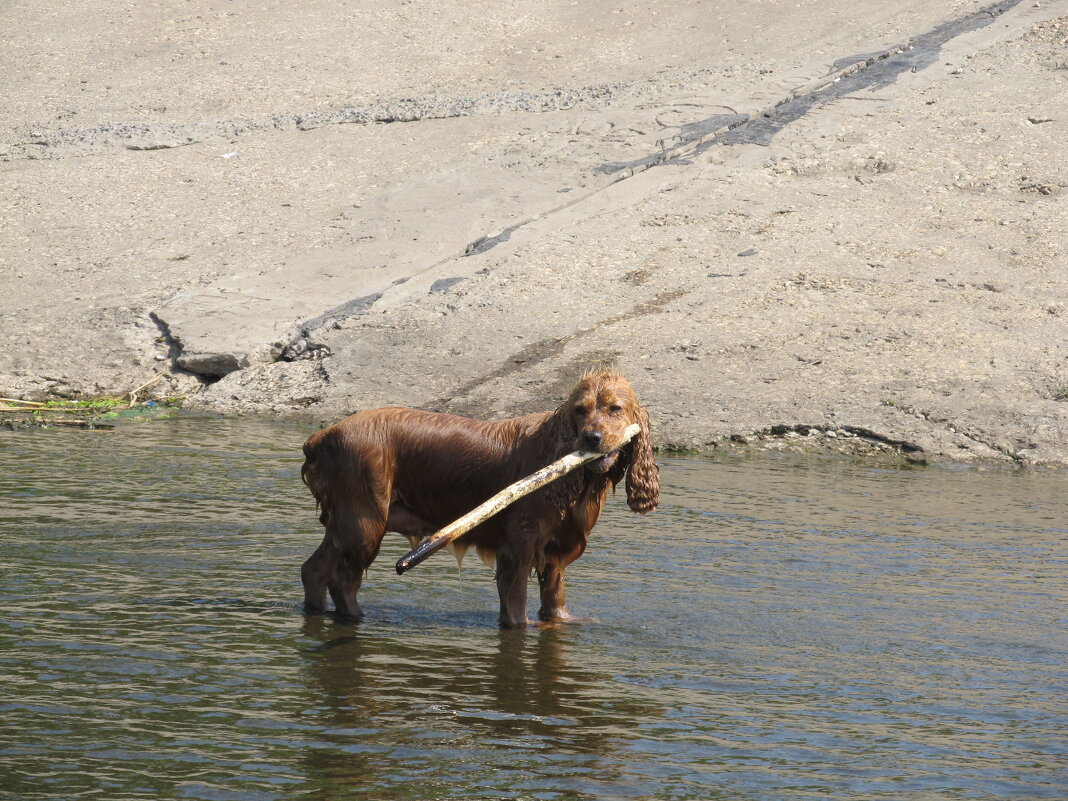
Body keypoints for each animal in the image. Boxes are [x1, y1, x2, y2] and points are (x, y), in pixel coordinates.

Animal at [296, 373, 653, 632]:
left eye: (615, 408)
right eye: (580, 409)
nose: (591, 438)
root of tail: (320, 437)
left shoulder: (554, 556)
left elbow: (554, 601)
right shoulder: (518, 549)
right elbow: (516, 607)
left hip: (345, 524)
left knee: (313, 570)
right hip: (365, 524)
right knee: (343, 581)